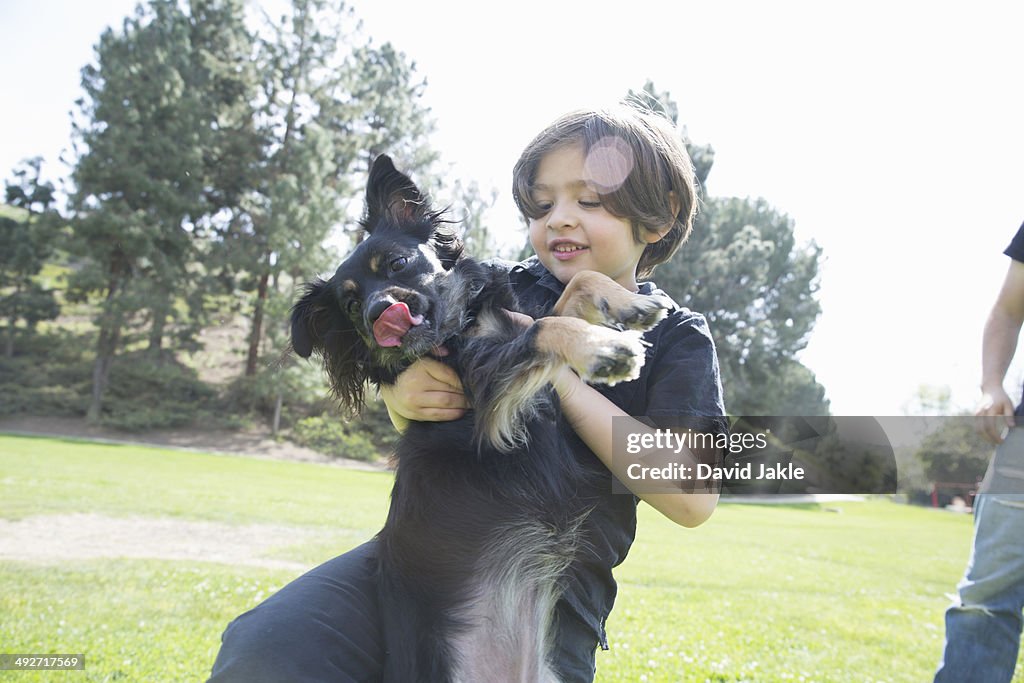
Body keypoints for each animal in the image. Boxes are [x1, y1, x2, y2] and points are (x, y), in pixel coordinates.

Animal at [292, 156, 667, 683]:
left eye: (397, 264)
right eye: (348, 305)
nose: (376, 313)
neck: (463, 324)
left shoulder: (517, 335)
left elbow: (574, 288)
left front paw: (630, 303)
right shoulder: (492, 393)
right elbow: (549, 325)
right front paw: (604, 349)